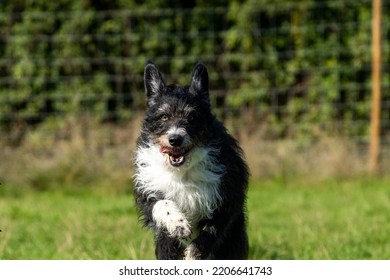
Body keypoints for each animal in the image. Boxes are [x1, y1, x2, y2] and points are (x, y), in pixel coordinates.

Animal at [133, 61, 250, 260]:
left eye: (192, 117)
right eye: (164, 116)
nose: (175, 139)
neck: (182, 171)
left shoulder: (228, 198)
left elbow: (212, 229)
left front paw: (195, 253)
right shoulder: (148, 190)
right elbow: (161, 204)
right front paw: (178, 223)